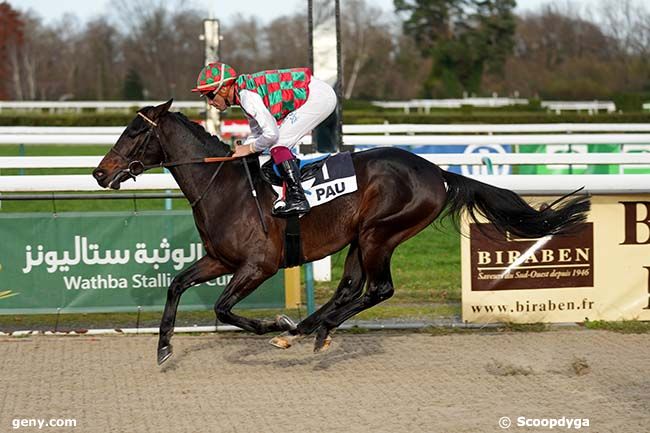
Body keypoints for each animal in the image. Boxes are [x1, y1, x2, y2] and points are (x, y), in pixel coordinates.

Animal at [93, 100, 590, 365]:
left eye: (134, 131)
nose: (100, 173)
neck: (225, 187)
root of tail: (438, 172)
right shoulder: (220, 259)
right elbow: (177, 284)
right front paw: (163, 347)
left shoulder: (258, 265)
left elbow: (222, 308)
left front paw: (274, 322)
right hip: (359, 238)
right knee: (351, 287)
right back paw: (311, 327)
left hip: (379, 234)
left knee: (378, 289)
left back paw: (309, 327)